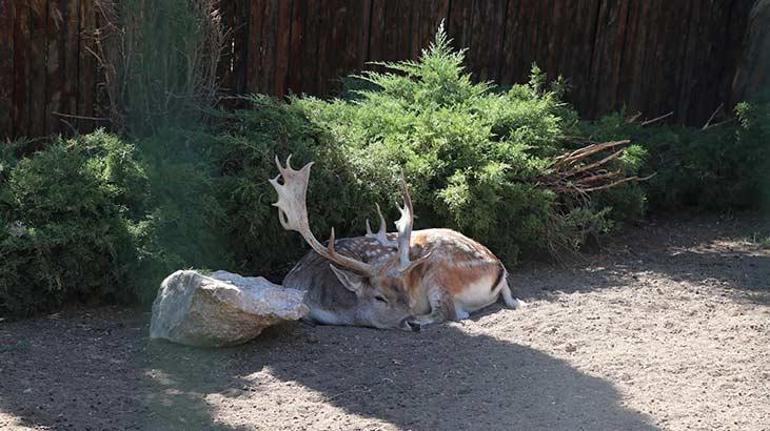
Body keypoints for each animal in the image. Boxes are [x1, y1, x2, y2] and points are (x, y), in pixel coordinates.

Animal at [268, 157, 520, 332]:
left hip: (440, 271)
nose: (411, 322)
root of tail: (500, 269)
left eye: (407, 295)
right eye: (380, 297)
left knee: (448, 312)